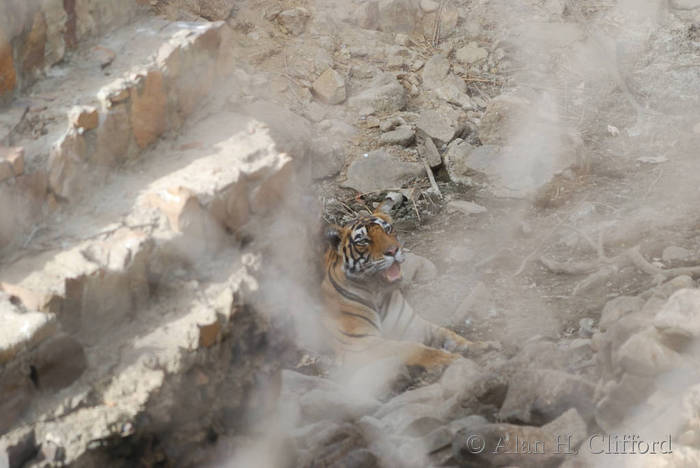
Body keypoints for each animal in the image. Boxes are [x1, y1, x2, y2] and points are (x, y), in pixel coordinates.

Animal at [322, 207, 482, 370]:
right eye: (363, 241)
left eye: (387, 229)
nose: (393, 251)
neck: (377, 291)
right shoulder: (360, 343)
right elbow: (411, 347)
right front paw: (448, 359)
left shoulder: (414, 326)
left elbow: (448, 335)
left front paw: (479, 346)